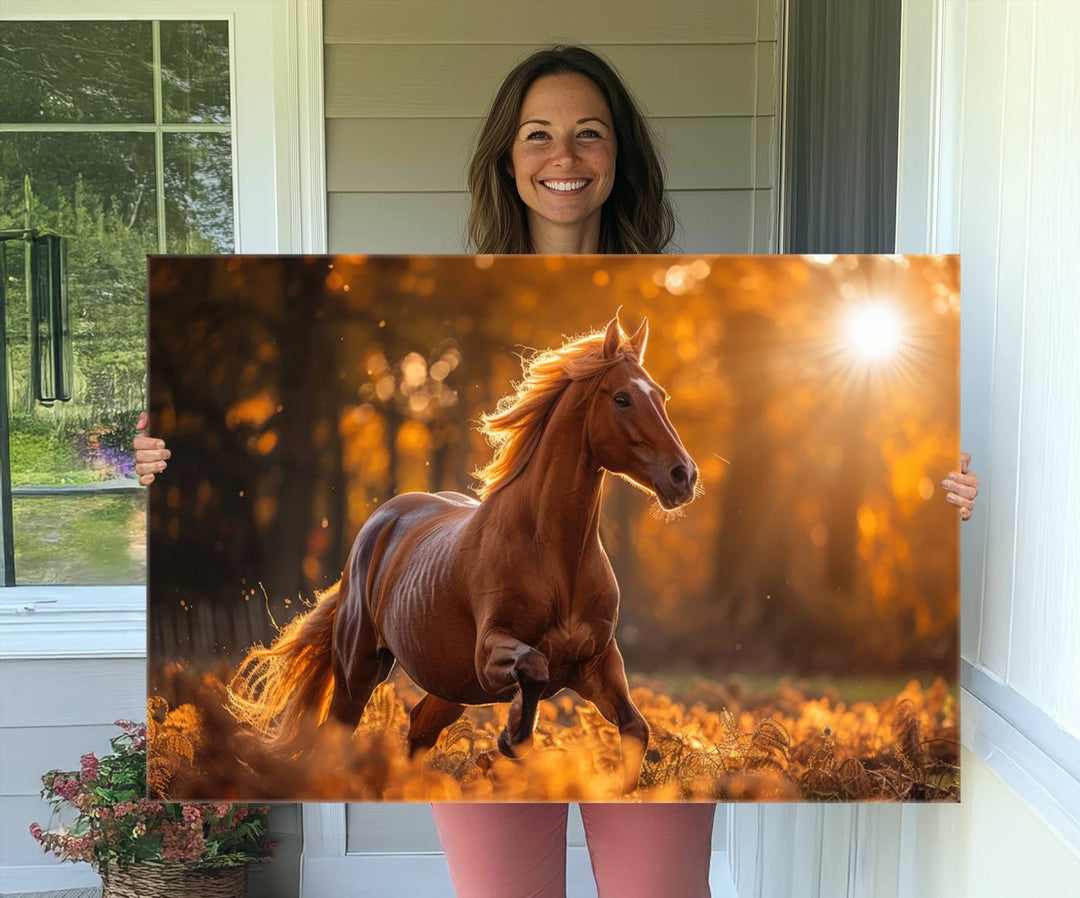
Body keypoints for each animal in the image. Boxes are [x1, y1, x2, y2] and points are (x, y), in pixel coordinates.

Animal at [228, 315, 699, 795]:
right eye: (622, 398)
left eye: (659, 395)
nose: (684, 476)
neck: (556, 558)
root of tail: (379, 524)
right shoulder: (491, 655)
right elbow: (533, 673)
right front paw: (508, 737)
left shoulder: (598, 663)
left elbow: (636, 729)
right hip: (359, 671)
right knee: (339, 734)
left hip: (448, 686)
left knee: (419, 727)